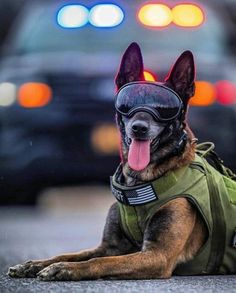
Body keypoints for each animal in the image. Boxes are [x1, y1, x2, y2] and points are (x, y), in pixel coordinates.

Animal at [8, 42, 235, 278]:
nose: (139, 128)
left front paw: (66, 269)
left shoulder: (157, 256)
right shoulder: (109, 246)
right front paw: (35, 264)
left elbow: (100, 261)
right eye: (128, 103)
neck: (141, 182)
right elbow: (74, 254)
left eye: (164, 108)